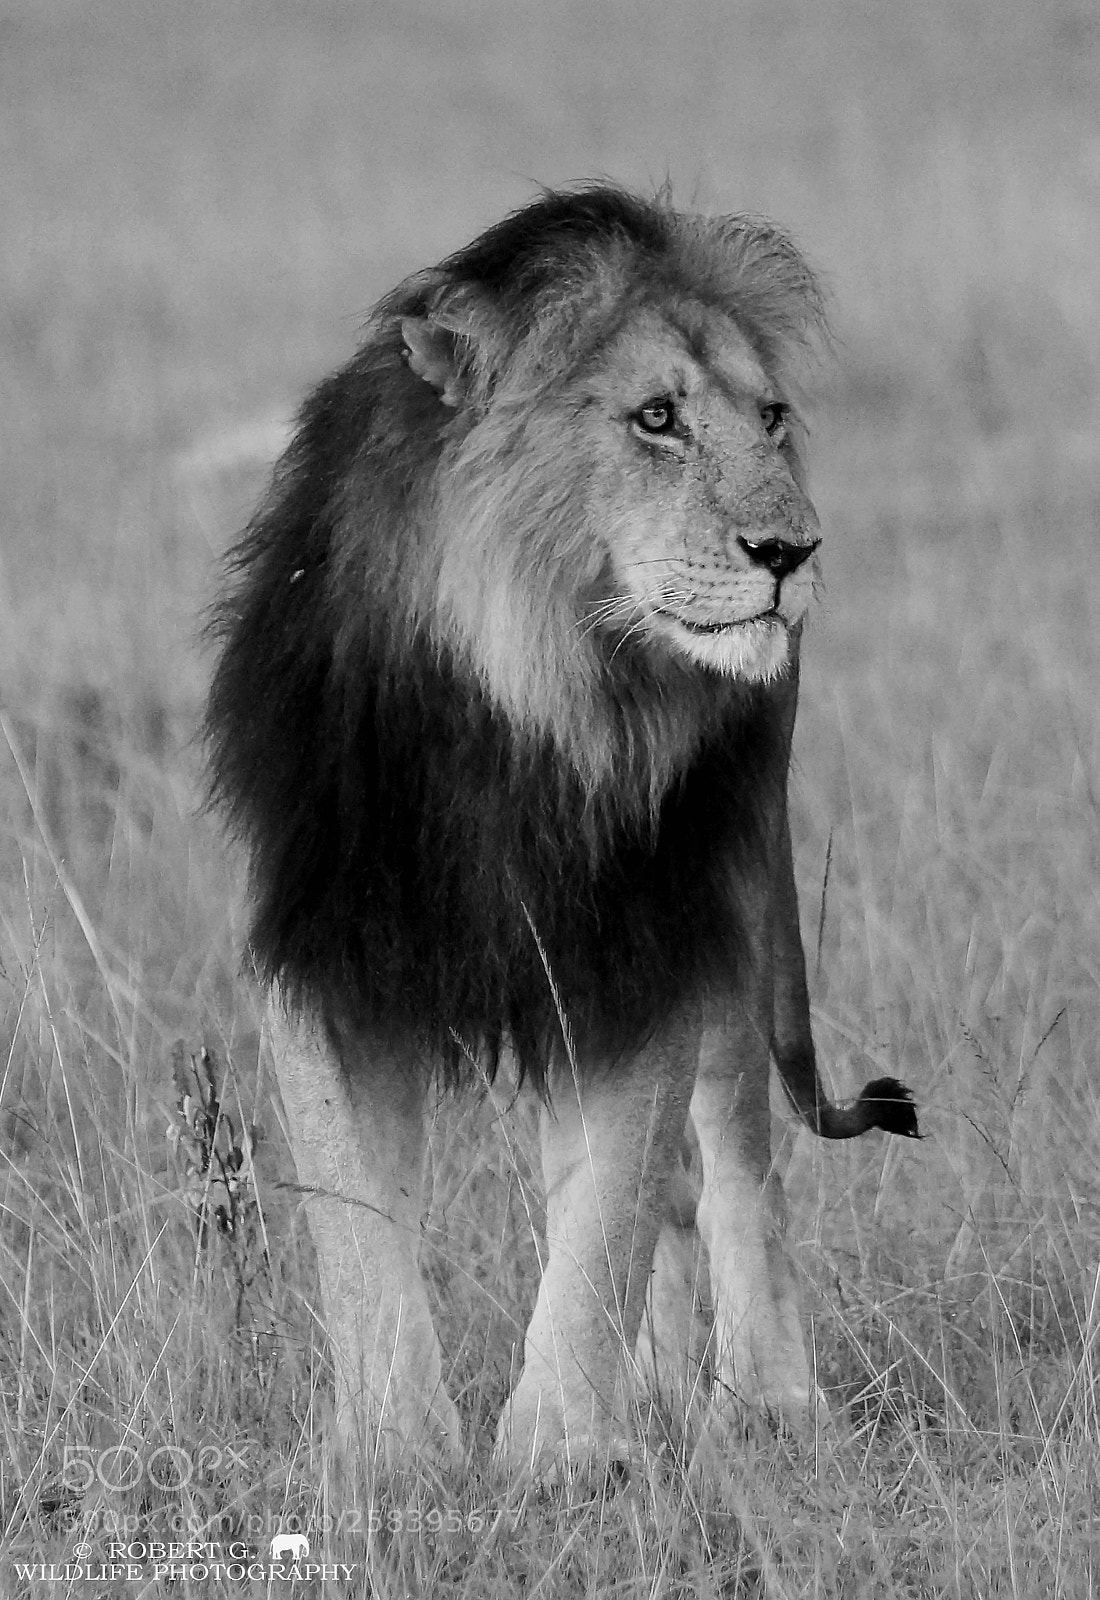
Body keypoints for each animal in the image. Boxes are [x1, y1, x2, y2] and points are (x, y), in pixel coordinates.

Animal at [205, 183, 919, 1474]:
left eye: (770, 417)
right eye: (655, 419)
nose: (792, 552)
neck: (538, 698)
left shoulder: (643, 946)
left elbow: (604, 1223)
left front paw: (560, 1456)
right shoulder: (324, 948)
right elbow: (358, 1228)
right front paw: (391, 1454)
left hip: (735, 906)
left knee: (729, 1164)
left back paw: (763, 1399)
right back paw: (661, 1389)